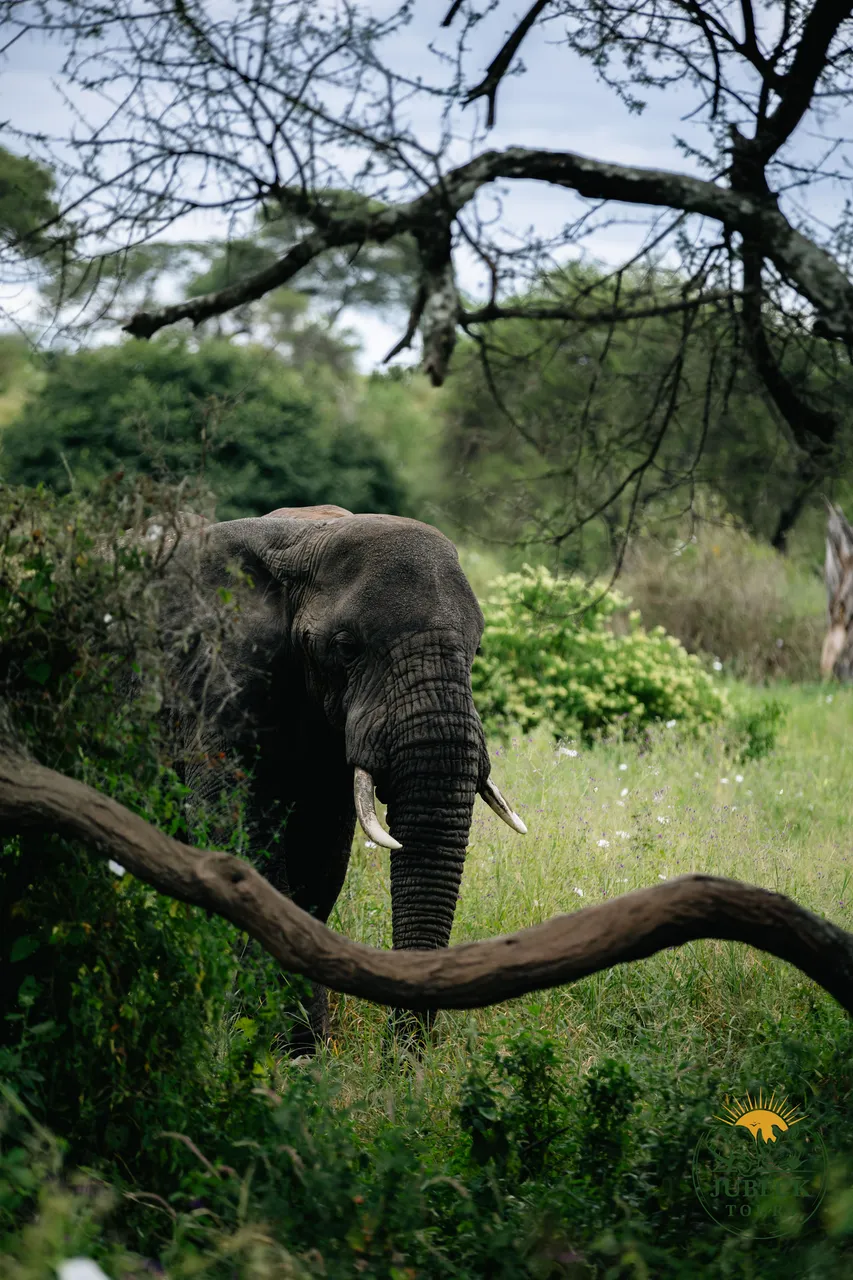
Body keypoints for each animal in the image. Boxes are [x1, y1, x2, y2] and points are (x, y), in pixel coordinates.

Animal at [145, 502, 526, 1050]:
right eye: (346, 648)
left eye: (475, 650)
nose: (403, 1059)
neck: (304, 539)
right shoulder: (212, 681)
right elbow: (240, 840)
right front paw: (279, 1048)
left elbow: (320, 860)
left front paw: (299, 1045)